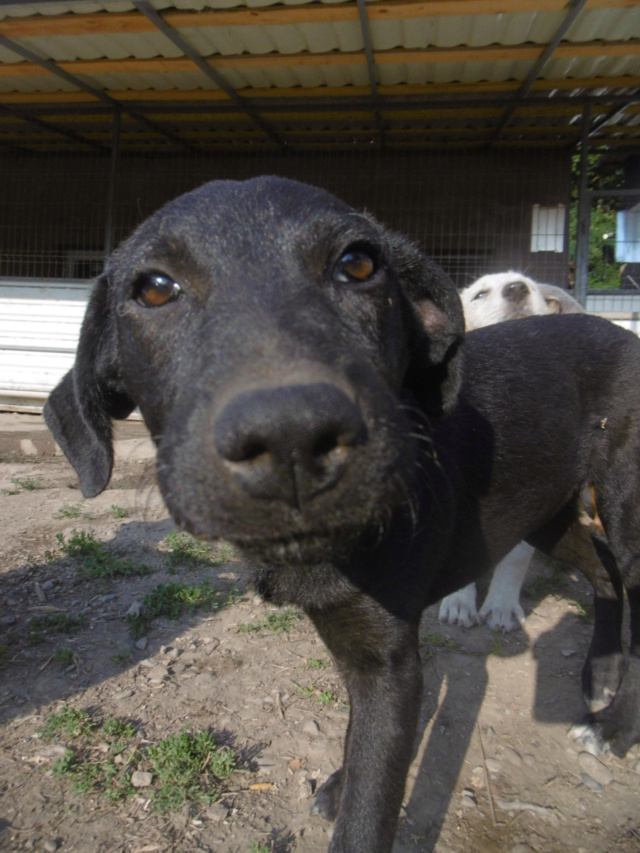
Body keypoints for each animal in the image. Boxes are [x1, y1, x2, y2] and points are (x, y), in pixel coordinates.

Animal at [440, 272, 584, 632]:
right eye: (479, 295)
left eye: (529, 287)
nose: (517, 290)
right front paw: (459, 602)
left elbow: (517, 556)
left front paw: (502, 605)